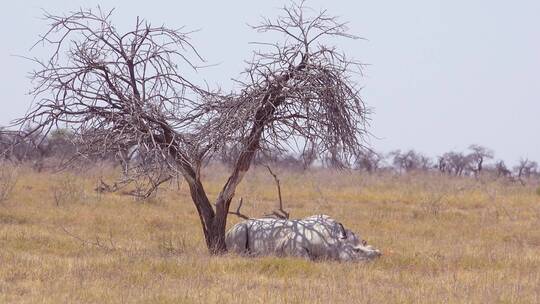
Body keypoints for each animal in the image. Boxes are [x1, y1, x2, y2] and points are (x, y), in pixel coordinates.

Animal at [226, 214, 382, 262]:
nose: (378, 256)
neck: (334, 240)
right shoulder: (292, 243)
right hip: (238, 229)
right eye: (357, 251)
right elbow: (306, 258)